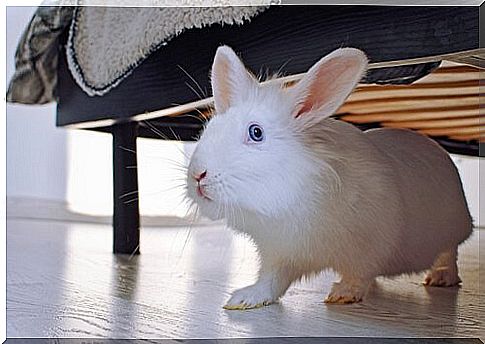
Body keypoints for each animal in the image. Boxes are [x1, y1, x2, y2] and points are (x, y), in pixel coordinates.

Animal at [185, 45, 472, 310]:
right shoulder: (280, 253)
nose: (198, 175)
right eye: (209, 128)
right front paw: (245, 298)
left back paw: (442, 278)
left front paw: (343, 294)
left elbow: (359, 273)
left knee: (449, 253)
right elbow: (272, 281)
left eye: (256, 133)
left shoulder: (370, 246)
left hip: (451, 229)